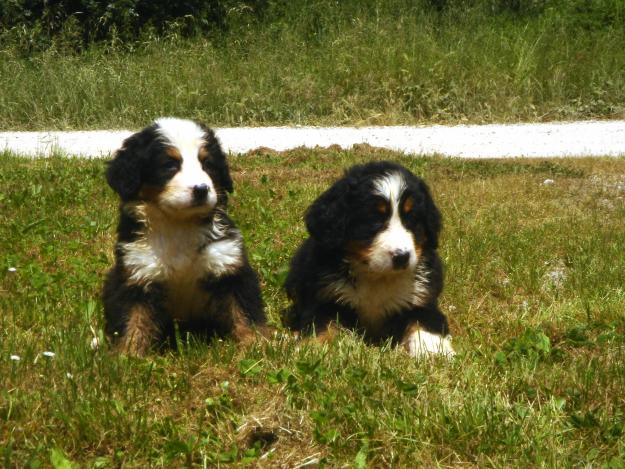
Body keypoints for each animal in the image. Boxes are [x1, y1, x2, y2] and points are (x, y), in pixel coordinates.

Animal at [102, 118, 266, 354]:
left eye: (207, 164)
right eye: (170, 165)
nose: (201, 189)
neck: (179, 224)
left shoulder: (227, 263)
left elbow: (244, 311)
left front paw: (256, 346)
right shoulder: (138, 271)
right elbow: (133, 318)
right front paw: (129, 354)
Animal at [282, 162, 454, 358]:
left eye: (411, 219)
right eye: (374, 220)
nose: (402, 257)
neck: (377, 276)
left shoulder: (421, 299)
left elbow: (425, 323)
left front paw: (434, 351)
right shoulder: (327, 298)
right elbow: (321, 325)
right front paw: (314, 349)